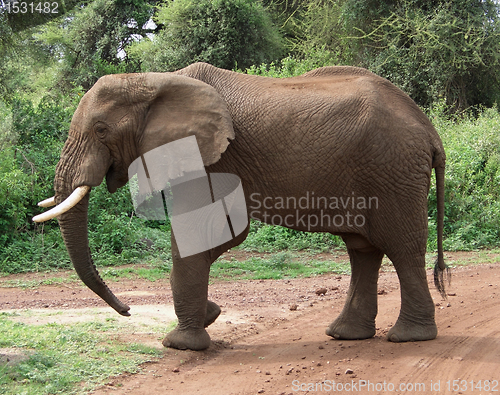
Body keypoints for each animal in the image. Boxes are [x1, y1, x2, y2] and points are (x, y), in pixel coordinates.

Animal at [33, 62, 448, 352]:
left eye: (101, 130)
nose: (127, 310)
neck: (153, 80)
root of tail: (430, 130)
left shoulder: (209, 157)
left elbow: (202, 231)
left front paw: (180, 344)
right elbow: (222, 235)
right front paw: (209, 315)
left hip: (393, 170)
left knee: (402, 247)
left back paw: (410, 337)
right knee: (363, 249)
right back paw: (346, 335)